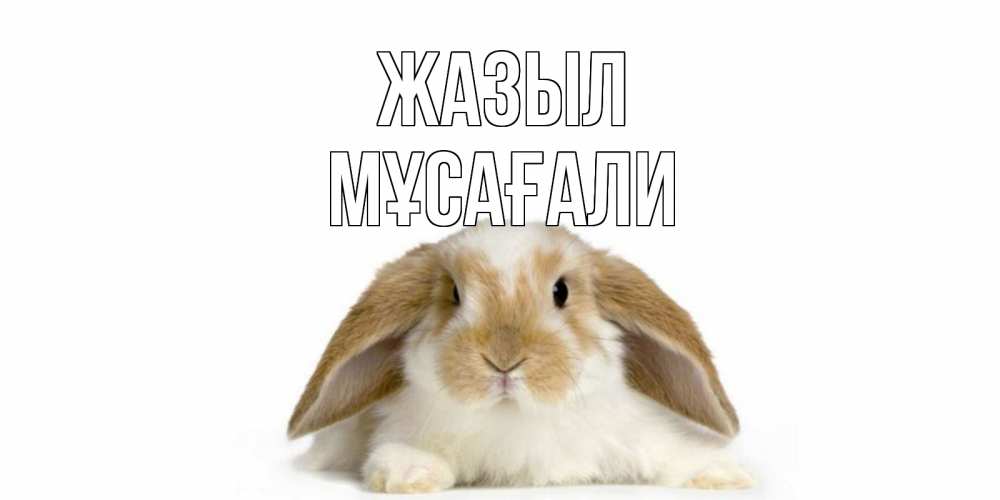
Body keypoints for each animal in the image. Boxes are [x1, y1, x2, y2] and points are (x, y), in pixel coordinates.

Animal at [288, 223, 753, 493]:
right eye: (454, 293)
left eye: (561, 291)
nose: (504, 359)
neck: (514, 416)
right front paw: (409, 474)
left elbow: (671, 452)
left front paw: (724, 474)